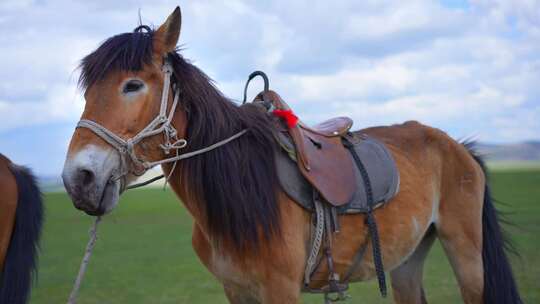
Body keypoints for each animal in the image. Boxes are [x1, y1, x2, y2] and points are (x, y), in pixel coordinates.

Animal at [63, 7, 524, 304]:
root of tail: (457, 146)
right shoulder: (237, 291)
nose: (78, 178)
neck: (240, 193)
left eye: (133, 85)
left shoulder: (279, 290)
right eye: (88, 91)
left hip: (468, 256)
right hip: (407, 260)